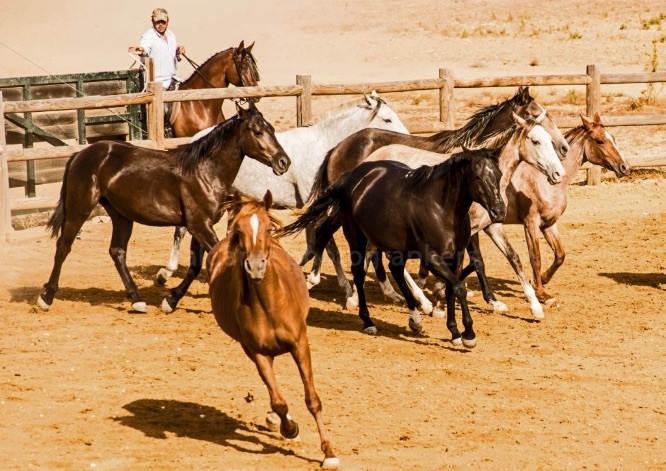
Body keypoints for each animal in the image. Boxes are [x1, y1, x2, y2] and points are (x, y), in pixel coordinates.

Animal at [37, 103, 290, 314]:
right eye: (257, 132)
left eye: (271, 129)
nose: (283, 162)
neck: (205, 171)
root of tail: (80, 154)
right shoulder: (200, 225)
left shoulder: (200, 226)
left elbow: (195, 267)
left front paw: (170, 301)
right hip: (79, 207)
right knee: (63, 246)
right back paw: (46, 298)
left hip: (121, 215)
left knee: (117, 252)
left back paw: (137, 301)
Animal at [155, 92, 409, 284]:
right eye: (387, 119)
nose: (406, 137)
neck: (323, 149)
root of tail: (194, 139)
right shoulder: (315, 206)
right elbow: (329, 246)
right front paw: (347, 291)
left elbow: (316, 242)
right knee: (181, 230)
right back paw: (166, 272)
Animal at [207, 191, 340, 469]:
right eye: (239, 230)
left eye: (268, 228)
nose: (256, 266)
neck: (270, 305)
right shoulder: (258, 353)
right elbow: (278, 401)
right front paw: (289, 428)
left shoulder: (300, 344)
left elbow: (313, 400)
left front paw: (329, 453)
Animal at [281, 147, 506, 346]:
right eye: (478, 177)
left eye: (499, 174)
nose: (499, 211)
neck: (442, 208)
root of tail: (352, 177)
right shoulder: (431, 258)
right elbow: (458, 287)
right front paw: (468, 334)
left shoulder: (455, 257)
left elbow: (452, 289)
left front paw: (454, 332)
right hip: (357, 239)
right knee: (360, 274)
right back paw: (368, 321)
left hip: (396, 246)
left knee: (395, 270)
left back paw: (415, 320)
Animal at [450, 112, 631, 308]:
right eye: (600, 141)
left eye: (613, 138)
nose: (625, 167)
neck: (544, 181)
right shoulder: (531, 223)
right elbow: (535, 257)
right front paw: (541, 293)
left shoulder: (549, 224)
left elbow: (560, 255)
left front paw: (541, 280)